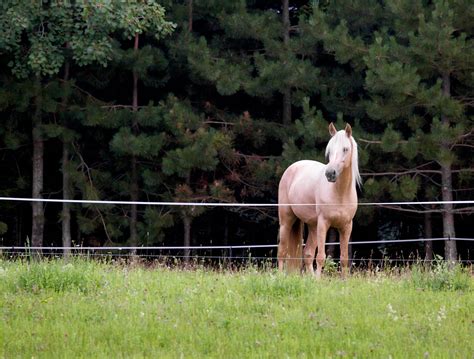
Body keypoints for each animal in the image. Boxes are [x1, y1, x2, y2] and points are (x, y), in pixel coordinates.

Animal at [276, 123, 362, 278]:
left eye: (345, 149)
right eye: (330, 150)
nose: (330, 173)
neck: (340, 194)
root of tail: (293, 167)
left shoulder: (346, 227)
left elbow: (344, 259)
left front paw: (344, 281)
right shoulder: (323, 224)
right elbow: (321, 257)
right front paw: (318, 281)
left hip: (313, 226)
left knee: (308, 254)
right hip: (287, 220)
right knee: (282, 252)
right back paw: (279, 277)